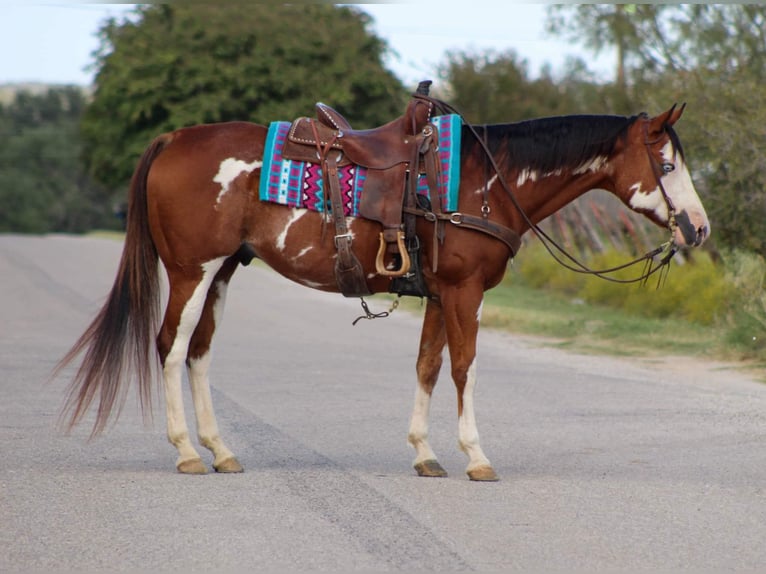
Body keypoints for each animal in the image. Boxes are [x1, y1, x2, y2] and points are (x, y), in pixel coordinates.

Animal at [56, 95, 709, 481]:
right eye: (667, 166)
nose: (698, 228)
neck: (487, 180)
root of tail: (174, 138)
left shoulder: (441, 293)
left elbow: (428, 366)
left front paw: (425, 453)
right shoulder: (465, 292)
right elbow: (465, 367)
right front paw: (475, 455)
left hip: (221, 272)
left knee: (198, 353)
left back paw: (219, 450)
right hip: (193, 271)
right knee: (170, 347)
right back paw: (188, 452)